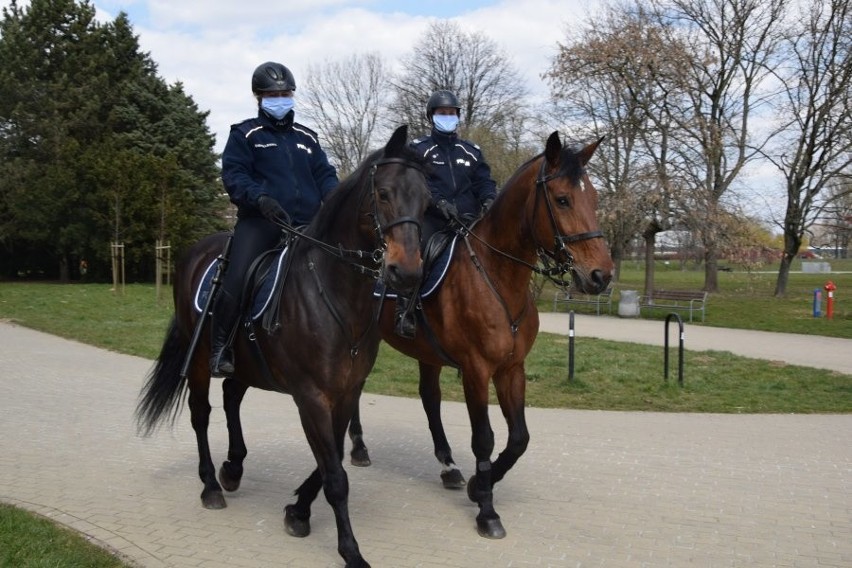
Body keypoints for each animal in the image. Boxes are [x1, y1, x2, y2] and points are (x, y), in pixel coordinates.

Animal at [137, 125, 432, 568]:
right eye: (383, 193)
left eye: (427, 200)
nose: (407, 272)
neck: (335, 291)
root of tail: (195, 252)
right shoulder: (311, 396)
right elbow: (335, 476)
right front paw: (351, 551)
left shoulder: (345, 394)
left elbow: (332, 461)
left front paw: (298, 511)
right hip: (202, 360)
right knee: (201, 414)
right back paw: (211, 486)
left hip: (244, 362)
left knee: (231, 395)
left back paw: (233, 468)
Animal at [352, 130, 612, 540]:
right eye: (562, 199)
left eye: (595, 198)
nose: (601, 275)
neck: (498, 277)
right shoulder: (476, 371)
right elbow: (484, 438)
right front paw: (487, 510)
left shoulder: (511, 369)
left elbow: (519, 438)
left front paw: (478, 485)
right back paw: (360, 448)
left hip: (427, 354)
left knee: (429, 398)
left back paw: (449, 468)